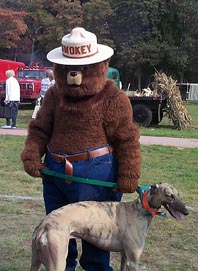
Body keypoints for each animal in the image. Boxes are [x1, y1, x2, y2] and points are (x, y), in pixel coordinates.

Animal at [30, 184, 189, 270]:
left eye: (178, 194)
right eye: (170, 195)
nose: (186, 212)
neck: (140, 209)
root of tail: (44, 226)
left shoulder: (125, 256)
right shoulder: (133, 259)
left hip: (36, 261)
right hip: (56, 263)